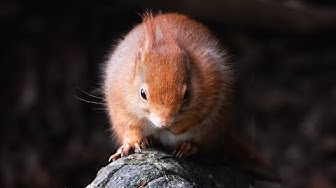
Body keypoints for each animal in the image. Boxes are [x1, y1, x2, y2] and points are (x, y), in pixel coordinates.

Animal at [103, 12, 266, 169]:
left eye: (186, 94)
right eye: (142, 94)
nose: (165, 123)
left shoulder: (213, 82)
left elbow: (200, 113)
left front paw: (178, 128)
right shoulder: (119, 100)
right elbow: (130, 126)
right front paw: (130, 144)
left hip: (212, 127)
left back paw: (187, 146)